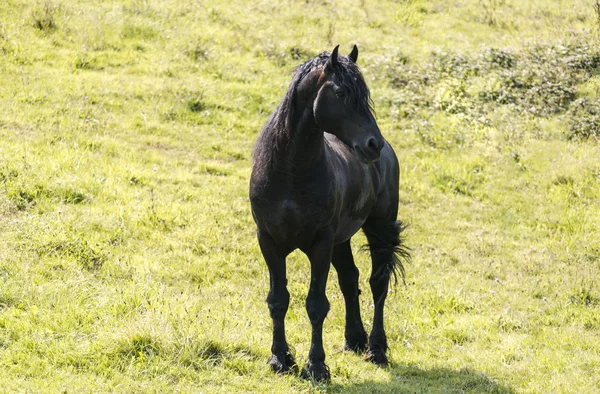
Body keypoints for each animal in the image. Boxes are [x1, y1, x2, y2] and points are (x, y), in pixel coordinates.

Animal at [248, 44, 408, 380]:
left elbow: (316, 305)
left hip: (379, 228)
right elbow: (278, 300)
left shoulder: (320, 245)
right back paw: (354, 340)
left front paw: (317, 366)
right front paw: (280, 359)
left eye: (365, 95)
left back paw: (376, 350)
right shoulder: (269, 242)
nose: (373, 144)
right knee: (350, 279)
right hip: (341, 241)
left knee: (378, 284)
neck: (291, 174)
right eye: (340, 92)